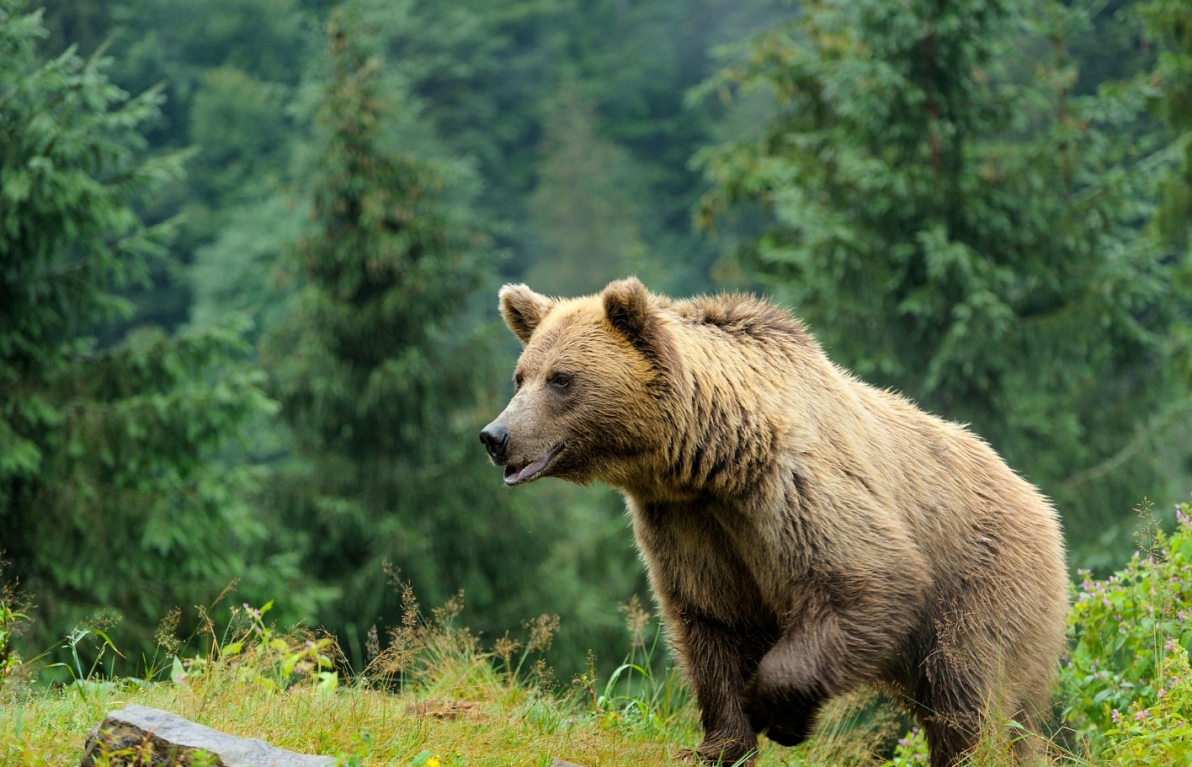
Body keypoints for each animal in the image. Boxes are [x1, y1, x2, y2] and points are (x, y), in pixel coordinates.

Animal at [479, 279, 1068, 763]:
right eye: (520, 376)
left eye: (562, 379)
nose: (495, 436)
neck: (709, 460)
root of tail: (1042, 503)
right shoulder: (686, 525)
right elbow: (710, 625)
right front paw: (720, 744)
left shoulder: (791, 490)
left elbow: (869, 578)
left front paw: (777, 714)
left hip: (982, 584)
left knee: (970, 692)